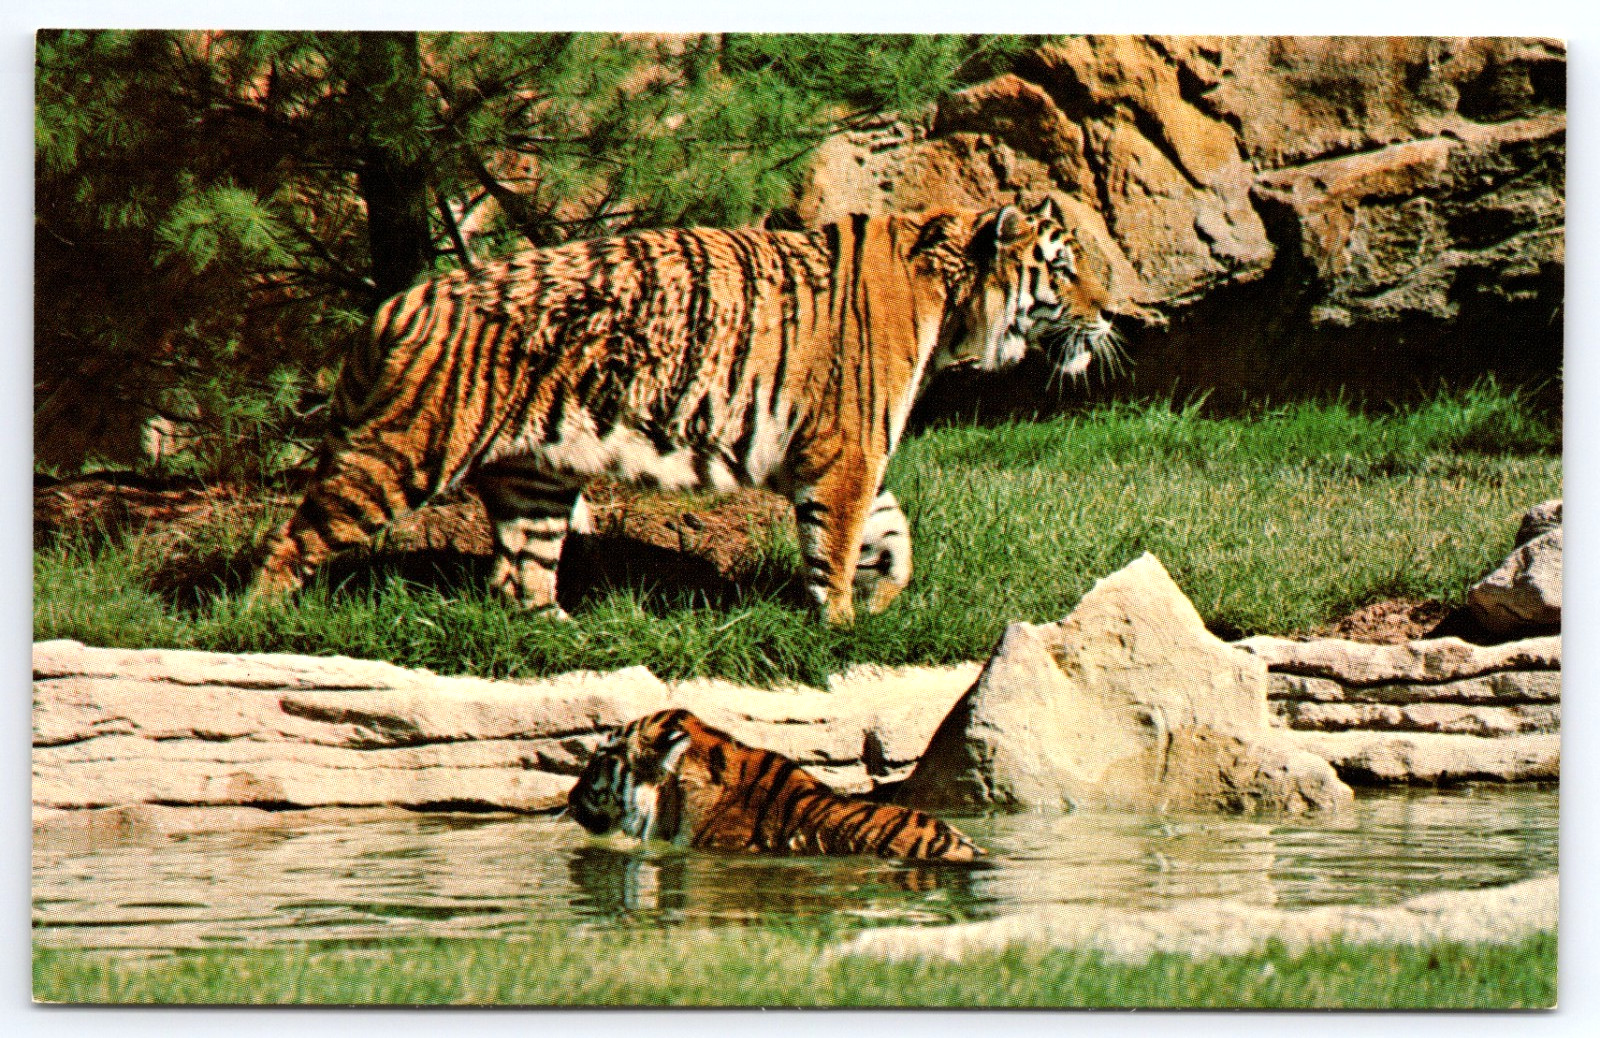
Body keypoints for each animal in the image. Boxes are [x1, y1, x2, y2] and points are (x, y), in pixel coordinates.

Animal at [249, 196, 1116, 624]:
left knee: (521, 574)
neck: (953, 296)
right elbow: (837, 543)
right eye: (1064, 269)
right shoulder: (846, 449)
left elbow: (890, 525)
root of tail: (397, 304)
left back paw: (567, 637)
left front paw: (887, 590)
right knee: (292, 541)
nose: (1112, 314)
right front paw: (839, 627)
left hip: (535, 476)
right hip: (402, 453)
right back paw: (256, 627)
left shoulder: (837, 453)